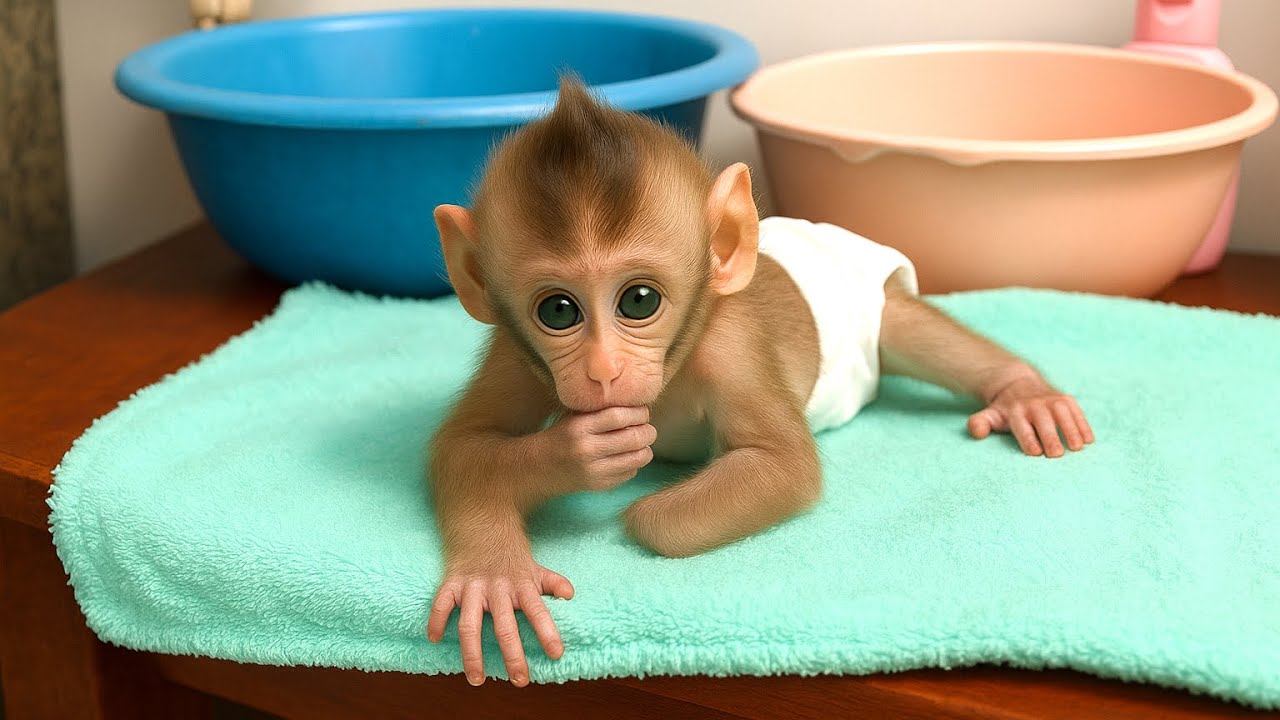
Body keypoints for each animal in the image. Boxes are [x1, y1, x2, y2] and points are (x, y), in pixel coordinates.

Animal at [425, 78, 1094, 688]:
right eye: (558, 311)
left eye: (639, 300)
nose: (603, 369)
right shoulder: (515, 351)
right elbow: (464, 442)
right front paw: (503, 561)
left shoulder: (732, 348)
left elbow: (778, 467)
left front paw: (626, 501)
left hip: (869, 298)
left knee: (908, 328)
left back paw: (1021, 391)